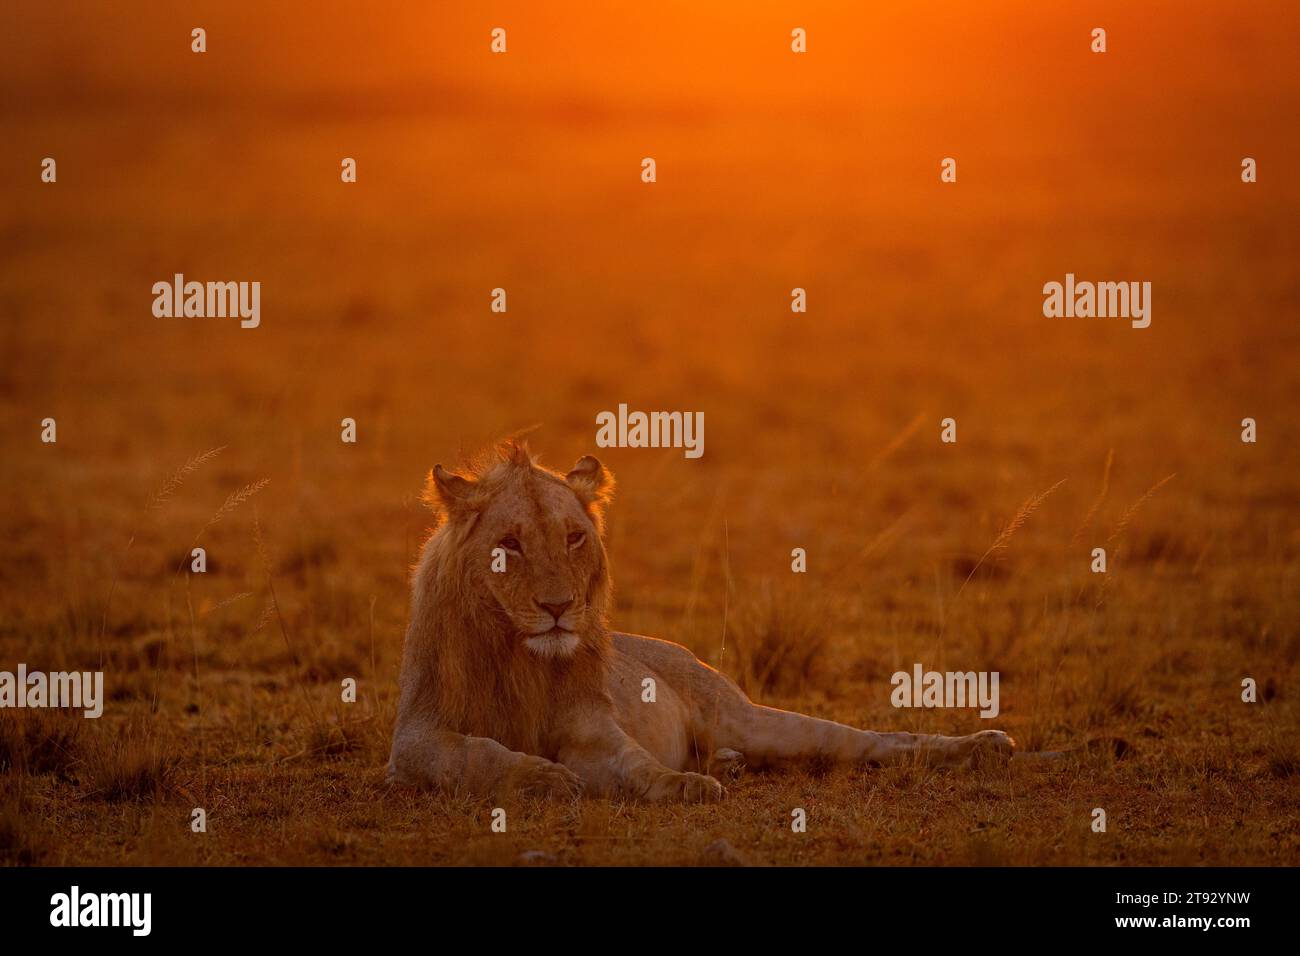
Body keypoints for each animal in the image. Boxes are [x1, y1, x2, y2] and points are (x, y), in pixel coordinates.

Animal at [386, 442, 1015, 802]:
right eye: (510, 545)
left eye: (574, 538)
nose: (559, 607)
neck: (522, 656)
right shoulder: (413, 739)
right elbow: (476, 754)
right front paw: (542, 778)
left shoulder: (593, 729)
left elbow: (633, 764)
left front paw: (680, 785)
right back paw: (728, 766)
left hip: (749, 717)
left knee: (868, 741)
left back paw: (986, 745)